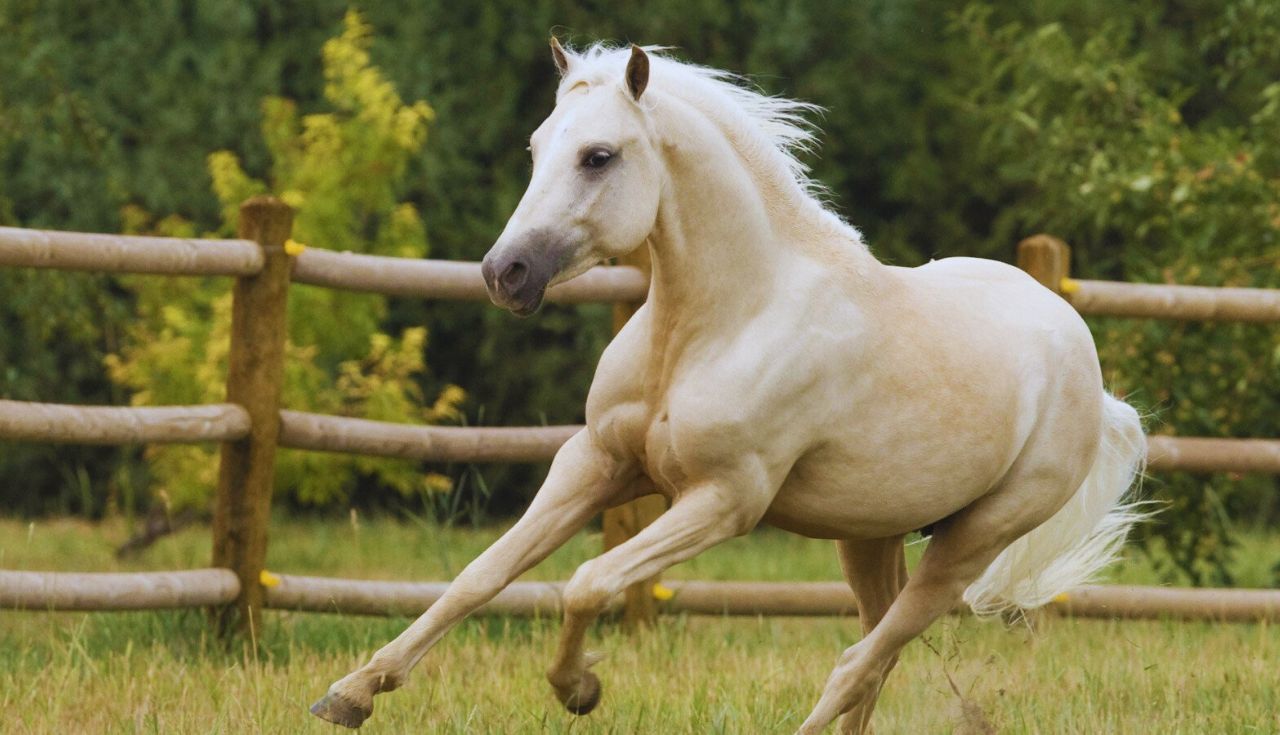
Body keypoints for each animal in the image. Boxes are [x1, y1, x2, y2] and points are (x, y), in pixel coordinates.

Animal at [312, 41, 1152, 735]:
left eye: (598, 156)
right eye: (537, 147)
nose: (505, 273)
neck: (717, 324)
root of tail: (1089, 369)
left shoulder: (723, 499)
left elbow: (585, 581)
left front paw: (579, 689)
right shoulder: (595, 464)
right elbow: (479, 575)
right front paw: (351, 693)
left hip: (973, 540)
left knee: (859, 660)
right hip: (869, 533)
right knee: (876, 656)